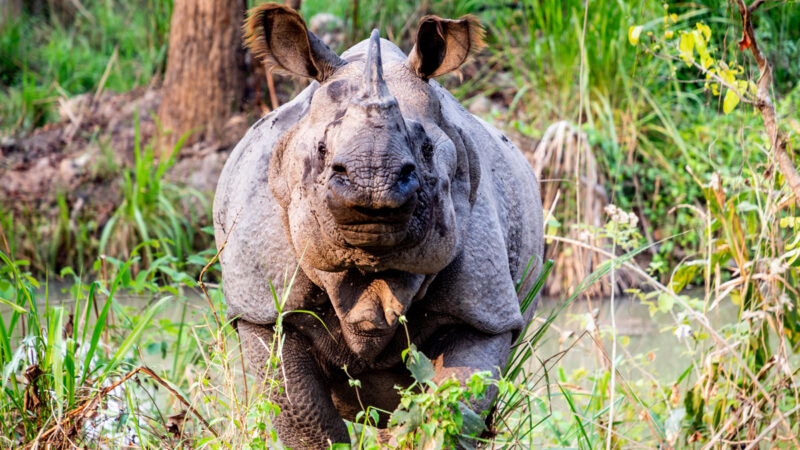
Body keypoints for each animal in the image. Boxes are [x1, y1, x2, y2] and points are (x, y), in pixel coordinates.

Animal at [212, 3, 544, 447]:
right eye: (321, 150)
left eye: (426, 149)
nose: (373, 182)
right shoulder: (265, 309)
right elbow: (308, 420)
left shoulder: (483, 310)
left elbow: (452, 412)